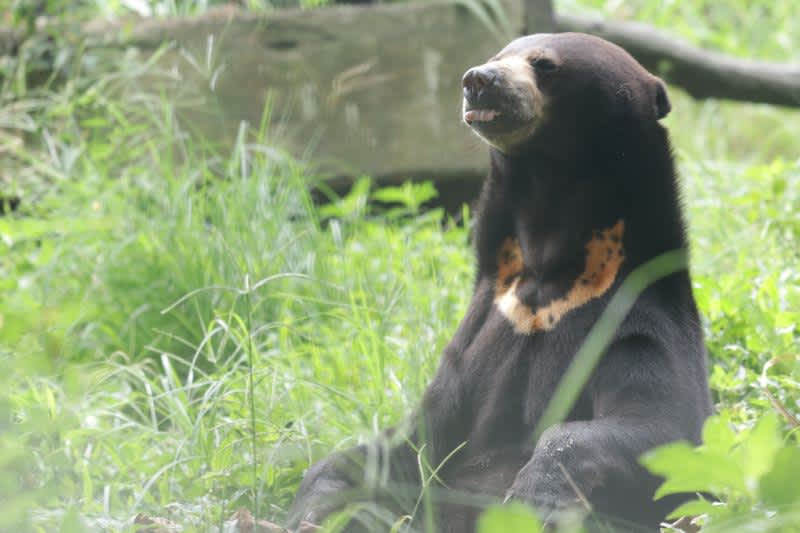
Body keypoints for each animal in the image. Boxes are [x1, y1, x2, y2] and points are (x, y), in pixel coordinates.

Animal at [285, 32, 712, 533]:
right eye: (497, 57)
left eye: (543, 64)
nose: (478, 80)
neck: (549, 272)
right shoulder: (481, 328)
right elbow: (408, 440)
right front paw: (316, 504)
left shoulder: (636, 320)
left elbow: (664, 427)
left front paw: (536, 494)